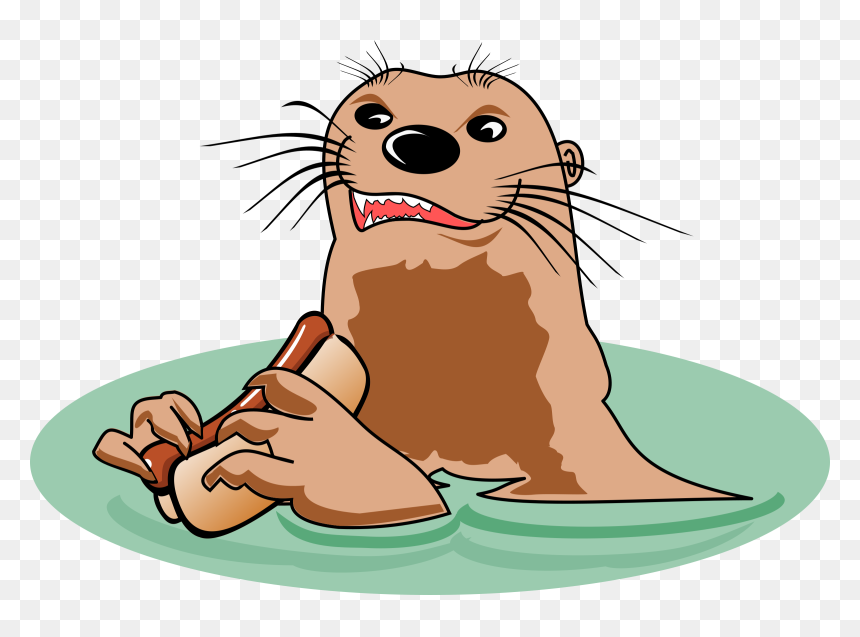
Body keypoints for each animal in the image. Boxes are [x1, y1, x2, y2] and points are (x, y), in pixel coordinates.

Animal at [95, 57, 745, 529]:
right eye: (373, 114)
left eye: (489, 127)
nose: (420, 142)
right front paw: (164, 427)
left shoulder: (586, 452)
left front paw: (328, 457)